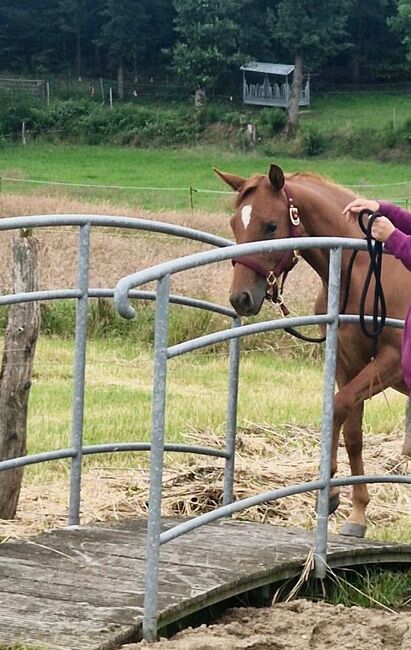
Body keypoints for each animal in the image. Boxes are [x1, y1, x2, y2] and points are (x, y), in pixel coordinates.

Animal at [217, 163, 410, 536]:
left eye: (271, 225)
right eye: (235, 223)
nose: (240, 298)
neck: (365, 268)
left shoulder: (390, 362)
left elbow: (338, 407)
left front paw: (331, 492)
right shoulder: (347, 364)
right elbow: (352, 431)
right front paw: (355, 513)